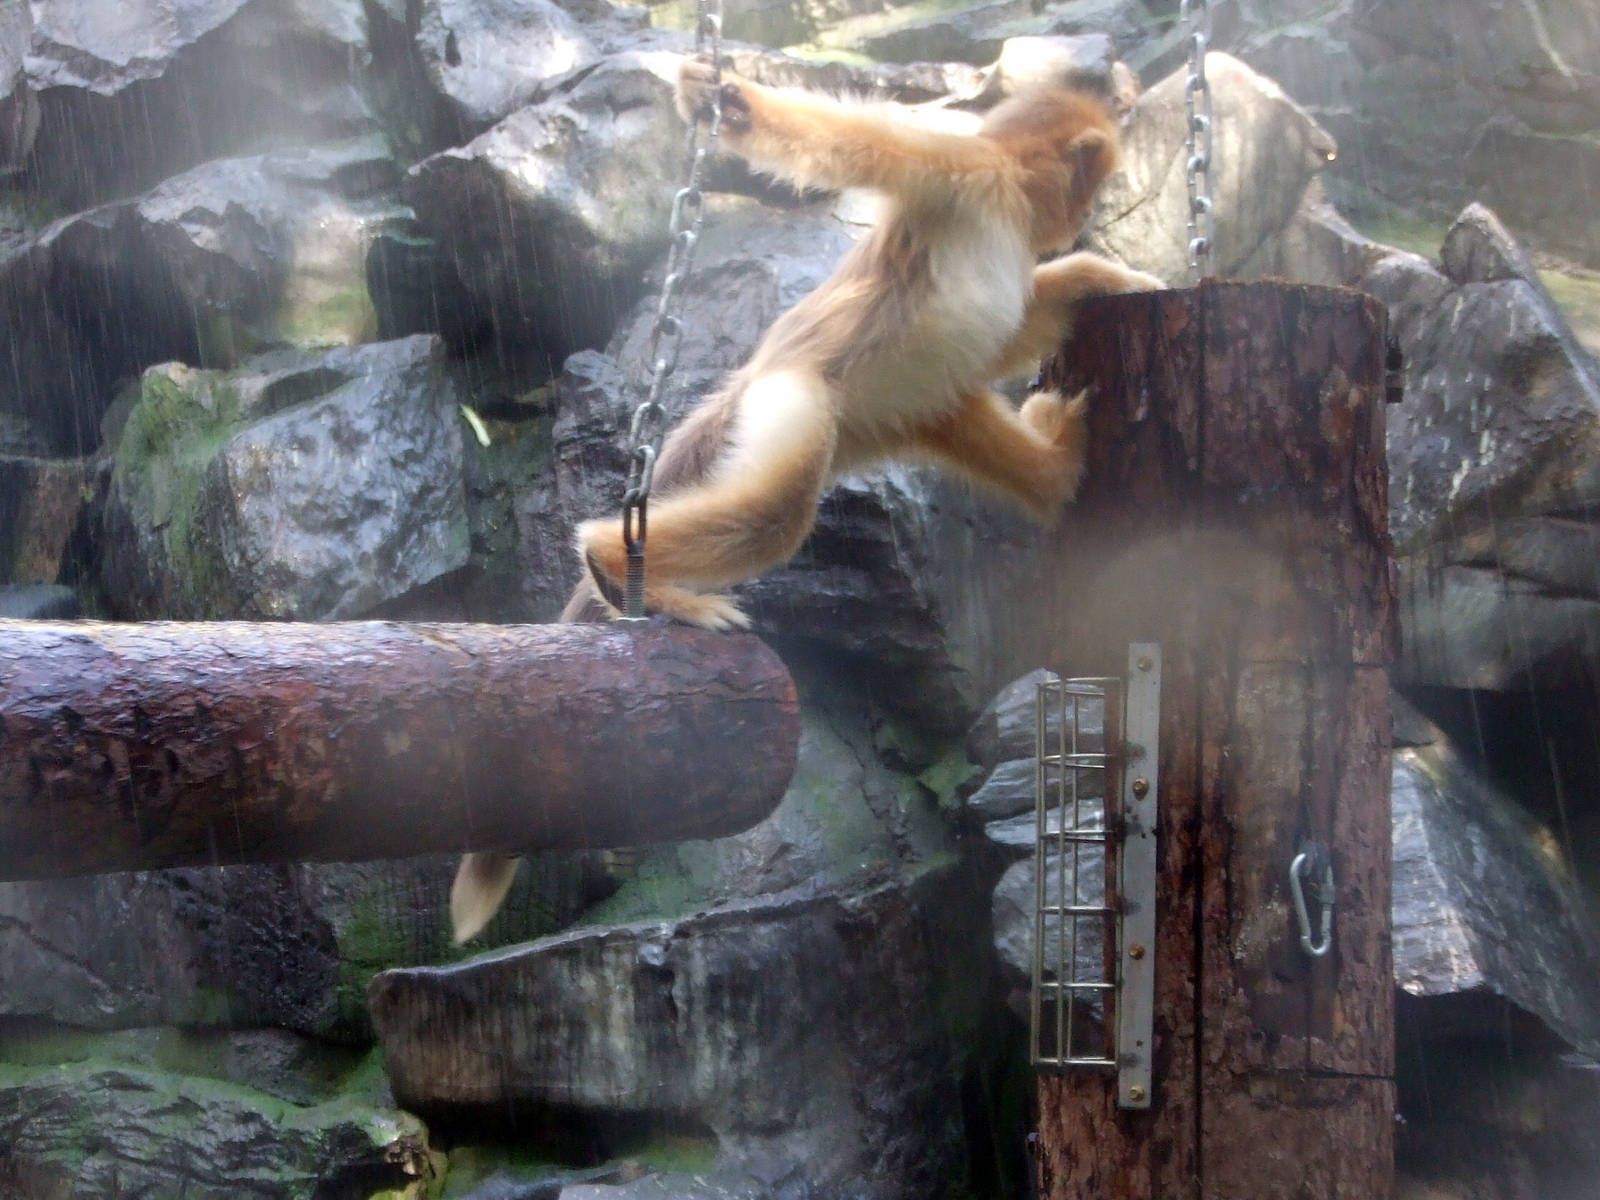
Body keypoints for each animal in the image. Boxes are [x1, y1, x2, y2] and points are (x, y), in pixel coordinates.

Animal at [449, 59, 1164, 944]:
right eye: (1085, 194)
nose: (1081, 222)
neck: (1005, 210)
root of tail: (750, 377)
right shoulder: (960, 171)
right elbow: (845, 144)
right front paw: (720, 97)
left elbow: (1019, 322)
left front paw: (1112, 278)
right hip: (796, 399)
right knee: (777, 512)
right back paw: (620, 564)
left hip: (896, 411)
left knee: (972, 417)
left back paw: (1054, 456)